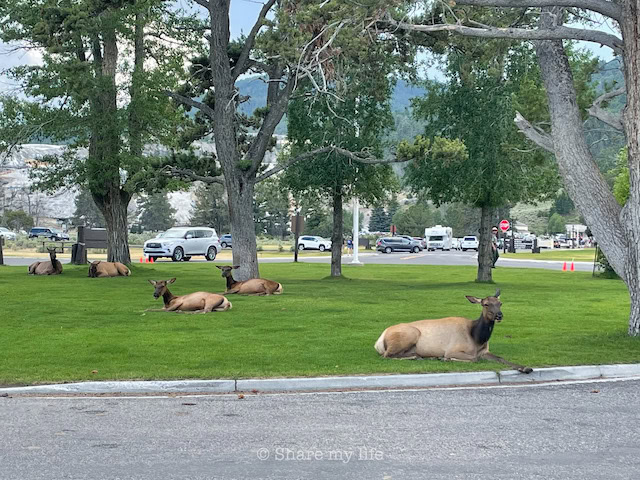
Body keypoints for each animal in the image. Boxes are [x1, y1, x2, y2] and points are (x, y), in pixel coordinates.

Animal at [372, 288, 532, 376]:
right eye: (486, 304)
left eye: (500, 303)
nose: (499, 315)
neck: (477, 338)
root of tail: (379, 340)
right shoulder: (452, 349)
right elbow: (474, 358)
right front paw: (446, 359)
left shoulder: (485, 351)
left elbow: (500, 358)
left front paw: (526, 367)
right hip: (410, 334)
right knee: (386, 356)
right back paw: (422, 357)